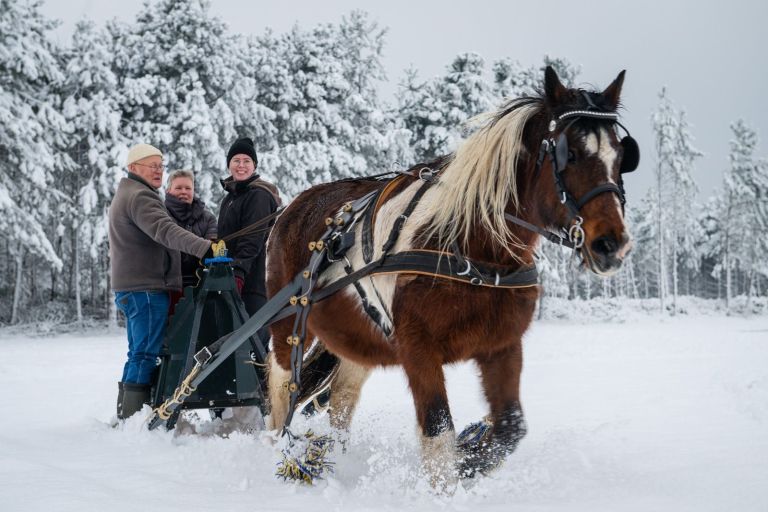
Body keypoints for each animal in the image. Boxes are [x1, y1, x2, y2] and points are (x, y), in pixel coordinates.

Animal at [264, 66, 636, 490]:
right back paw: (283, 452)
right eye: (568, 154)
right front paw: (447, 484)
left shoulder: (502, 345)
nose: (611, 243)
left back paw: (337, 458)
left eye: (621, 156)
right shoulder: (418, 350)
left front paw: (472, 457)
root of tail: (293, 205)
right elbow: (439, 432)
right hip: (288, 323)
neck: (473, 251)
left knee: (342, 395)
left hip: (359, 336)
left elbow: (510, 429)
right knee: (280, 388)